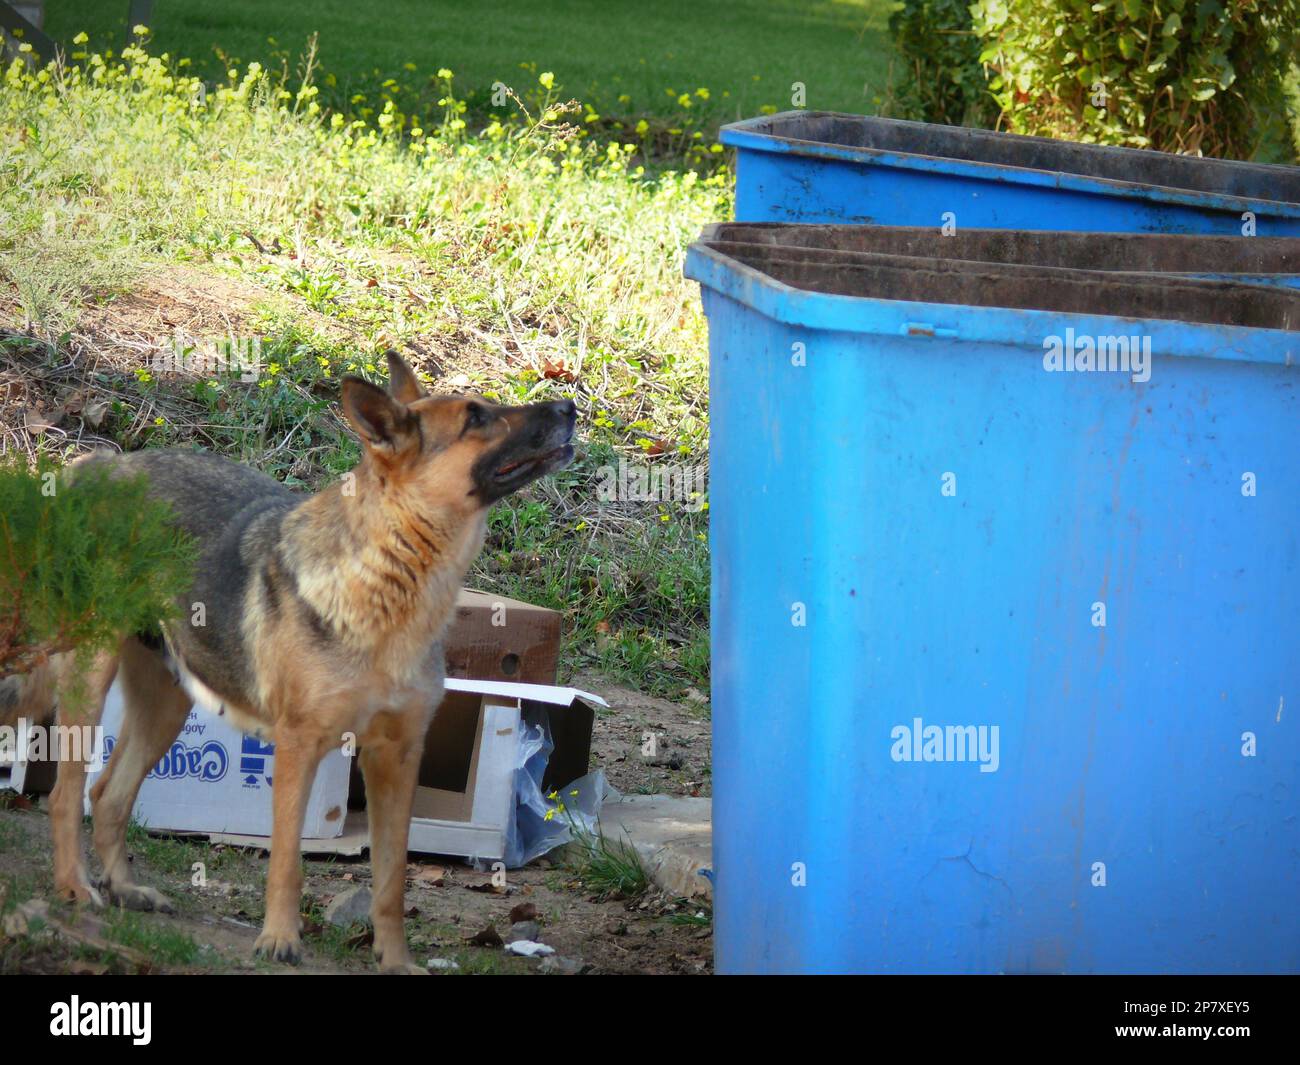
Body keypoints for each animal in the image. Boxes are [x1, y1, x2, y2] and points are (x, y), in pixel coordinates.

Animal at [0, 351, 574, 972]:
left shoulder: (396, 759)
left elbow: (391, 879)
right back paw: (76, 888)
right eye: (476, 419)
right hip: (90, 680)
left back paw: (126, 889)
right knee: (66, 796)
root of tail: (95, 466)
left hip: (166, 704)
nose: (570, 407)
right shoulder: (300, 749)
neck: (394, 581)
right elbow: (286, 862)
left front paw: (395, 959)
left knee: (108, 795)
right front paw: (278, 939)